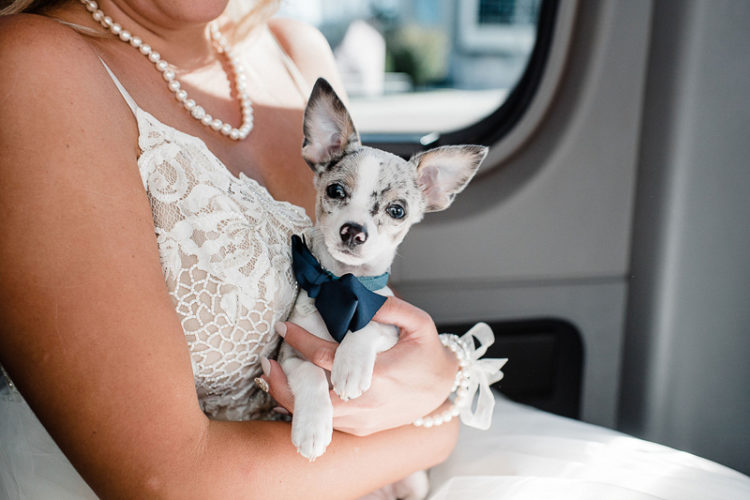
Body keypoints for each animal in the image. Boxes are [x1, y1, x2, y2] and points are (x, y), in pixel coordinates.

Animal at [279, 78, 487, 497]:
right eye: (336, 191)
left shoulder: (391, 329)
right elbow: (310, 375)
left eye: (397, 211)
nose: (353, 231)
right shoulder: (288, 355)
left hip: (415, 482)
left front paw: (349, 366)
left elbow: (367, 327)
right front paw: (312, 428)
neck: (341, 285)